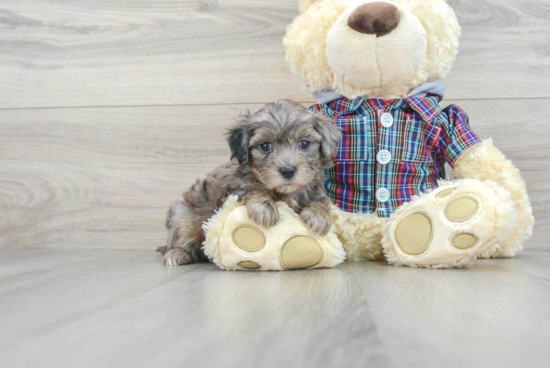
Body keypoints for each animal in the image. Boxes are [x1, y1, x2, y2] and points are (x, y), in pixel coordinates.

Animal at [161, 99, 340, 266]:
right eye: (265, 146)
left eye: (304, 143)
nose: (288, 170)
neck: (284, 192)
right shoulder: (234, 187)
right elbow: (253, 189)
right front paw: (265, 206)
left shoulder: (315, 190)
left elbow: (318, 201)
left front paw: (318, 215)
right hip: (183, 216)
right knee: (182, 237)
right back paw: (176, 254)